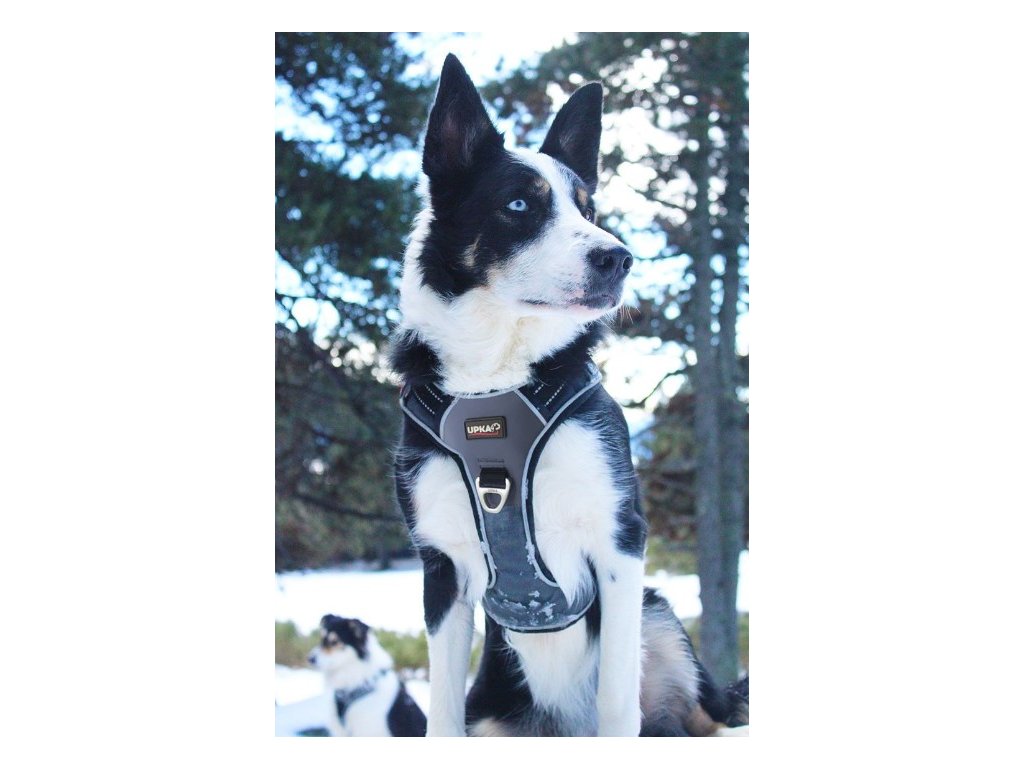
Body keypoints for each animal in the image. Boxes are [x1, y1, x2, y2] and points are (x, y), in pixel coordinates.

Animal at [389, 53, 747, 737]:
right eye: (518, 204)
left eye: (587, 209)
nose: (619, 258)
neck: (496, 380)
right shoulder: (441, 566)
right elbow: (441, 714)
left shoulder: (619, 540)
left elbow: (616, 702)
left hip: (660, 617)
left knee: (705, 716)